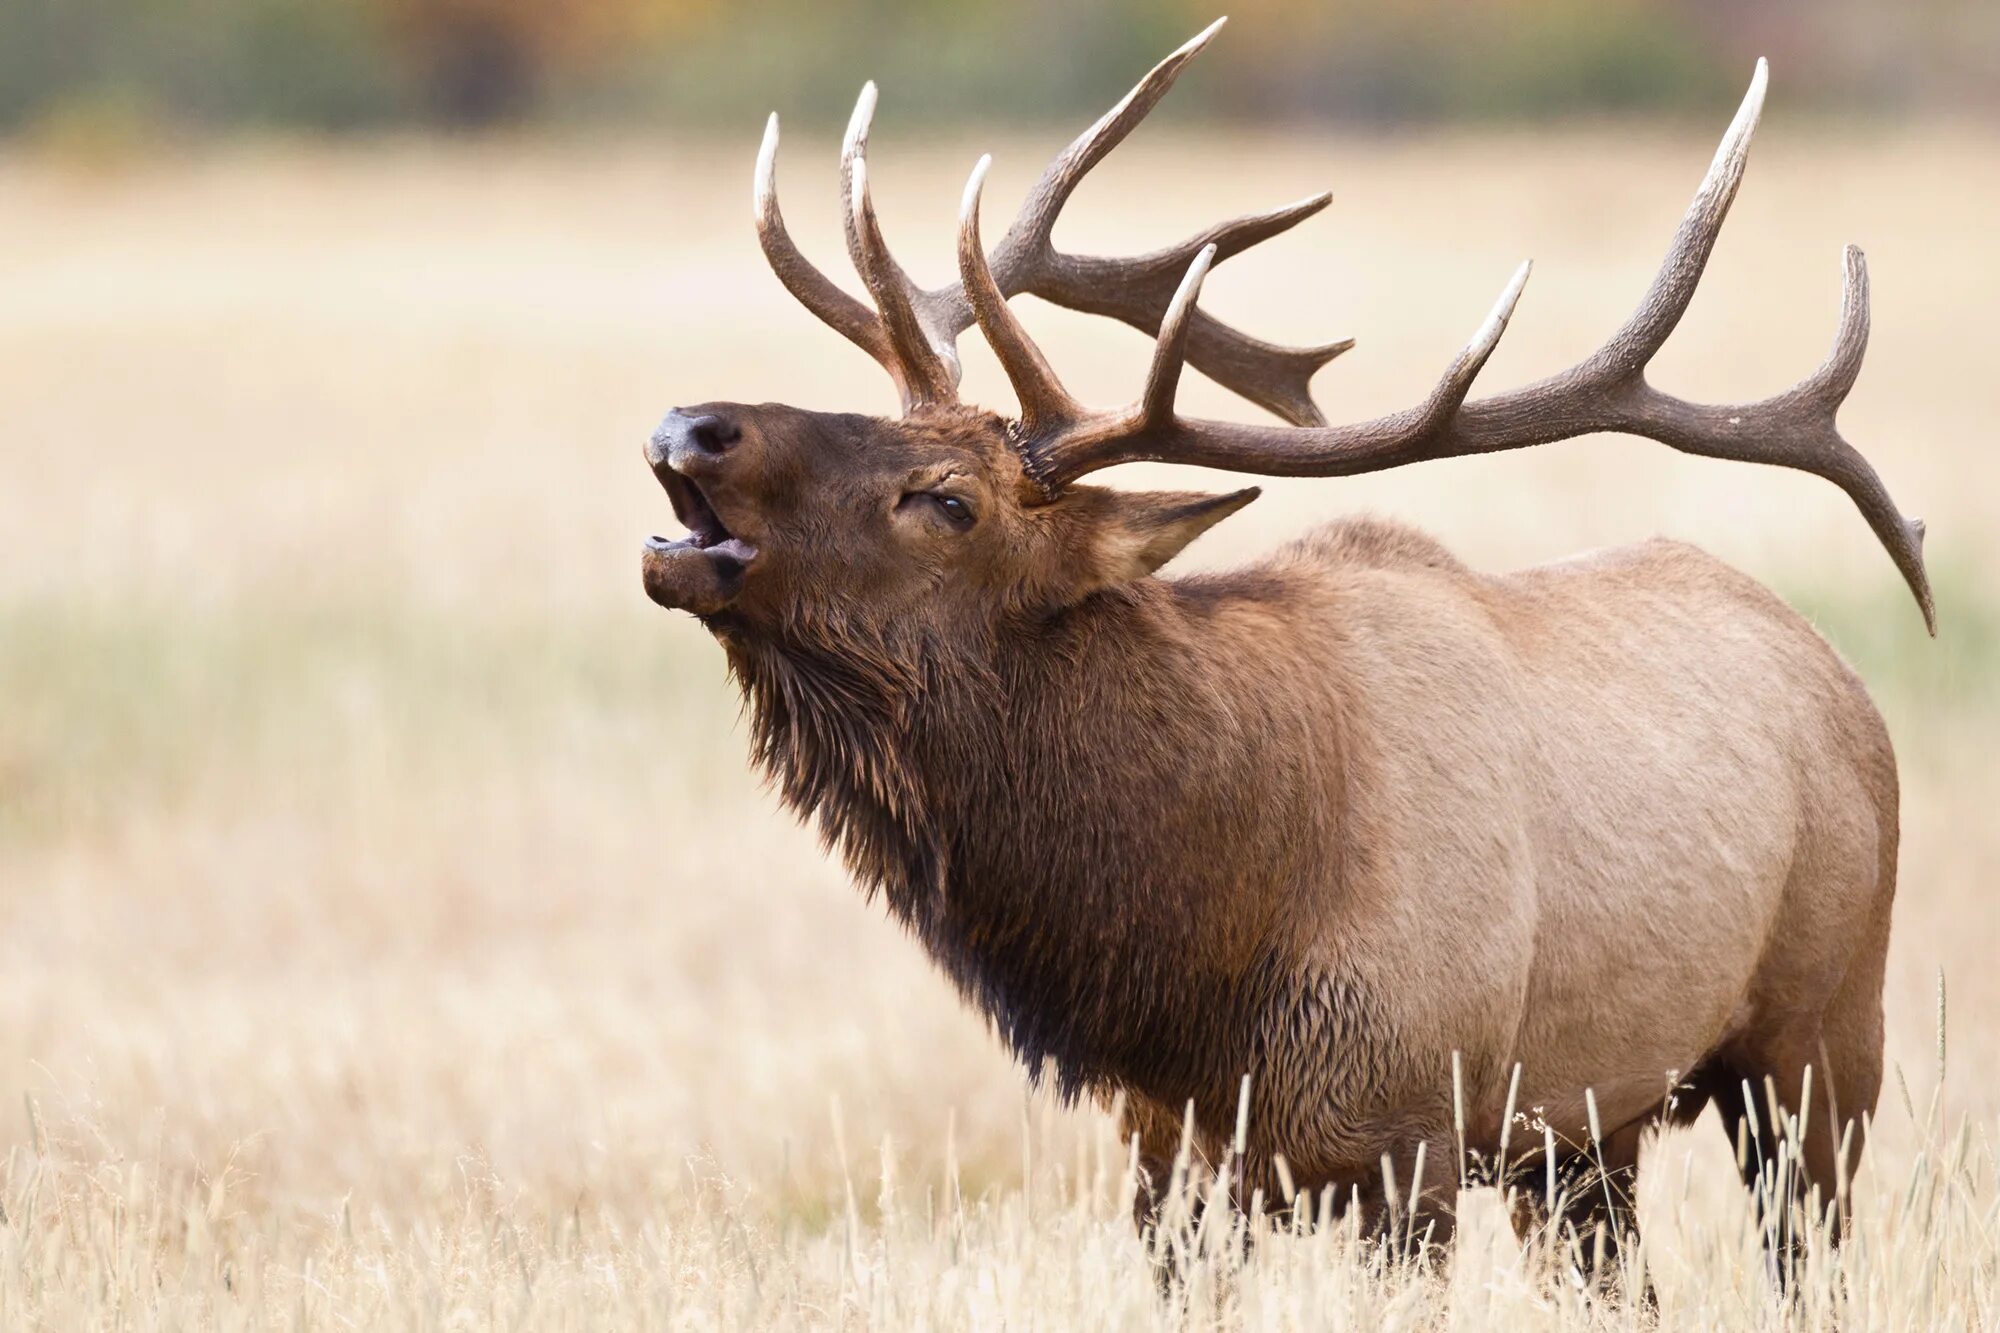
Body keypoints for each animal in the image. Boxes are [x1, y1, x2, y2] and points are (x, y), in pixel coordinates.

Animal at [632, 18, 1928, 1264]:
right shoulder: (1166, 1155)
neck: (1197, 961)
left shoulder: (1411, 1133)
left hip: (1822, 1039)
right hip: (1584, 1134)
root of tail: (1839, 678)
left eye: (948, 500)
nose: (691, 425)